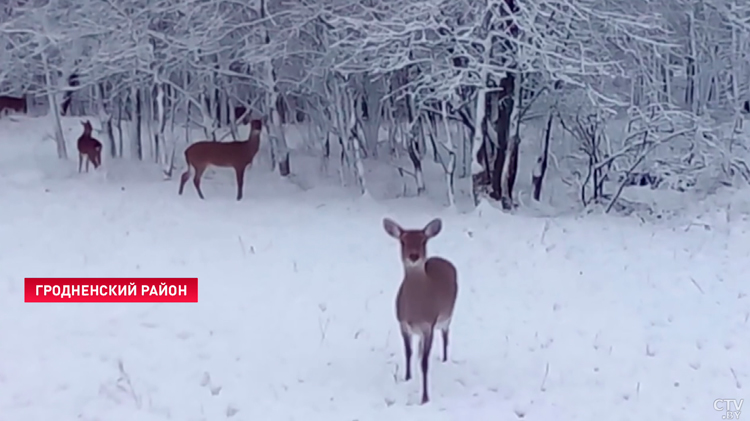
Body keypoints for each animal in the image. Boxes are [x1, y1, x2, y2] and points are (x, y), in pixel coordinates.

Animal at [384, 217, 462, 404]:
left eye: (423, 241)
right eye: (403, 241)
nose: (414, 256)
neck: (415, 310)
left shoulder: (429, 326)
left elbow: (425, 363)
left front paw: (425, 397)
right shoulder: (402, 324)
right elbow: (408, 353)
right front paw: (407, 378)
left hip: (447, 316)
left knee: (446, 336)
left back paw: (445, 360)